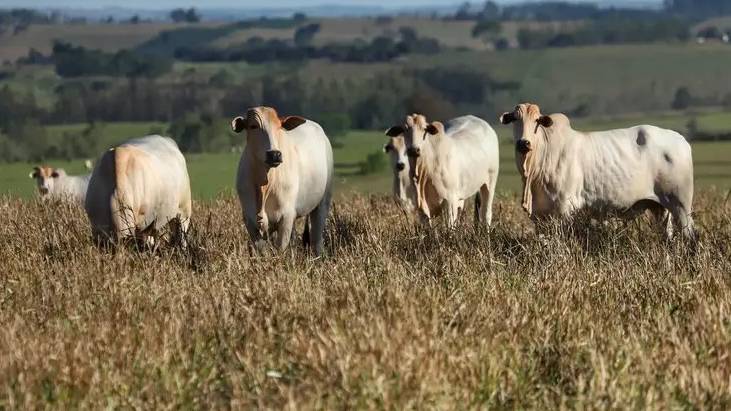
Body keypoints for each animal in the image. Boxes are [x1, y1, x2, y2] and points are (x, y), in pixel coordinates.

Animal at [233, 104, 334, 256]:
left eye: (279, 127)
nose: (274, 154)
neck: (266, 183)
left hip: (322, 202)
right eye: (253, 126)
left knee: (316, 239)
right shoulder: (249, 219)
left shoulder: (286, 216)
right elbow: (262, 250)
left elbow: (280, 248)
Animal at [498, 102, 696, 241]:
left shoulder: (564, 210)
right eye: (515, 119)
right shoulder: (540, 216)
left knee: (690, 235)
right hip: (660, 208)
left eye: (537, 121)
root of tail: (681, 139)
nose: (524, 143)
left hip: (681, 205)